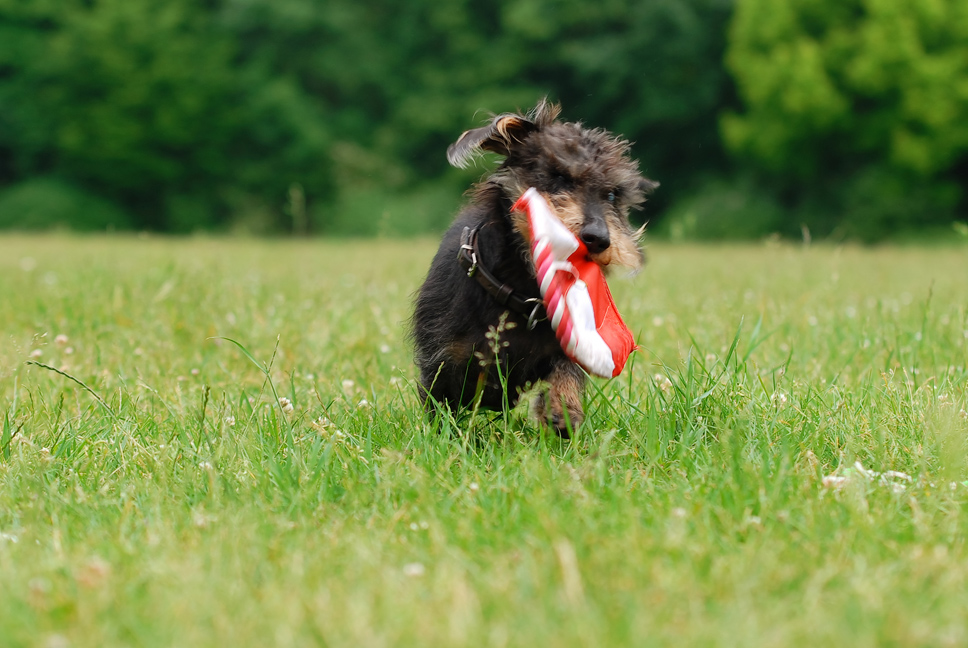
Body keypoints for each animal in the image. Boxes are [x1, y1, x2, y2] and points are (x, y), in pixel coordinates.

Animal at [410, 100, 656, 436]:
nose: (598, 238)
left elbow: (566, 373)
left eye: (612, 195)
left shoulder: (568, 344)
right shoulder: (444, 359)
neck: (519, 288)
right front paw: (448, 439)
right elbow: (440, 404)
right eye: (559, 177)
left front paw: (563, 411)